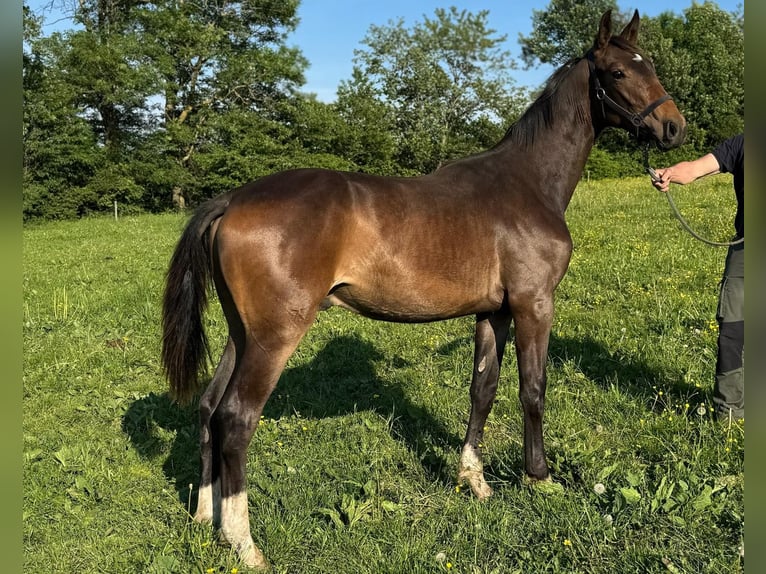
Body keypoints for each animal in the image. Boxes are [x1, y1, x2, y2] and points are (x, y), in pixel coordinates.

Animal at [161, 9, 685, 569]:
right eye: (617, 72)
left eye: (650, 65)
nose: (673, 127)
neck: (527, 183)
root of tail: (233, 200)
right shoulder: (533, 305)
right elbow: (533, 388)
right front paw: (539, 477)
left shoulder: (493, 313)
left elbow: (483, 389)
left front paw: (474, 481)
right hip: (276, 337)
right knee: (237, 418)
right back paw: (243, 542)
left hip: (244, 334)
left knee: (209, 406)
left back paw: (205, 516)